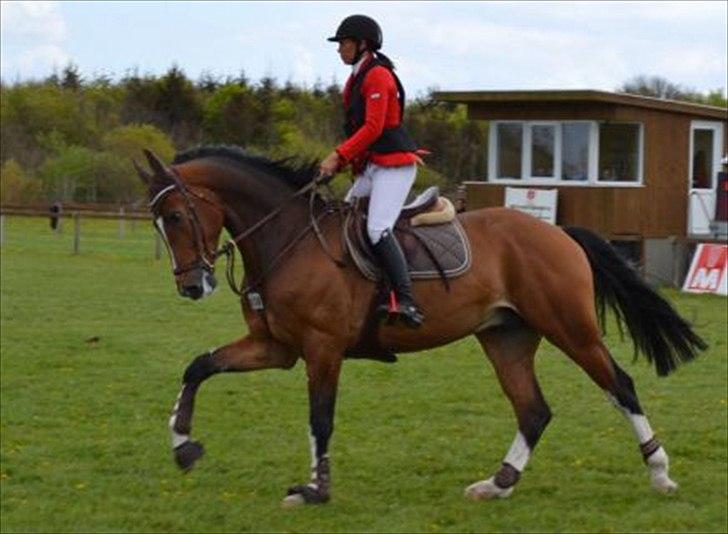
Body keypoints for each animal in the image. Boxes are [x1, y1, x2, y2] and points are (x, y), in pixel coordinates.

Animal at [135, 149, 704, 508]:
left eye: (177, 217)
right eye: (158, 222)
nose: (193, 286)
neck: (288, 239)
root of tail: (558, 232)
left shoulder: (322, 348)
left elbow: (320, 418)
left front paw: (315, 491)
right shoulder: (274, 347)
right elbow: (198, 366)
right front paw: (183, 444)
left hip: (571, 328)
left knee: (619, 386)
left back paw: (660, 472)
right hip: (506, 336)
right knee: (534, 410)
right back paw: (497, 485)